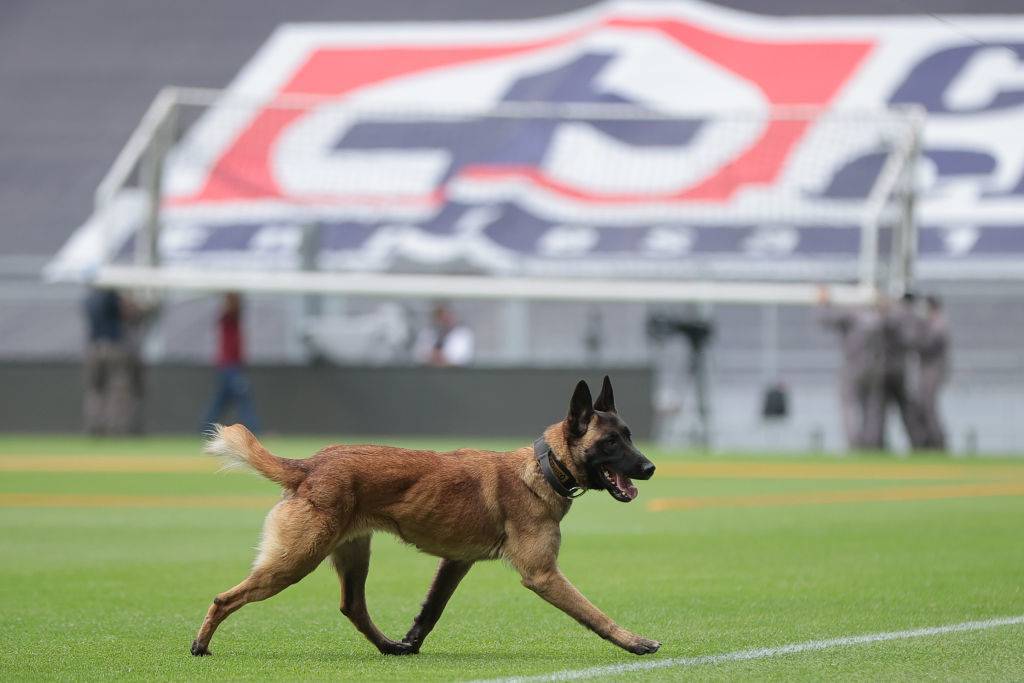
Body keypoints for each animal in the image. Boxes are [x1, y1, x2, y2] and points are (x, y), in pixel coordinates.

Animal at [189, 374, 659, 655]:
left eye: (630, 436)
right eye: (611, 442)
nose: (651, 467)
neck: (545, 467)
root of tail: (309, 465)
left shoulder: (456, 562)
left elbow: (431, 609)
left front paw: (411, 641)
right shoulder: (542, 574)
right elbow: (593, 613)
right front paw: (634, 642)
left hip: (352, 555)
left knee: (352, 607)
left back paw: (388, 647)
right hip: (294, 560)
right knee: (224, 598)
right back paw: (200, 646)